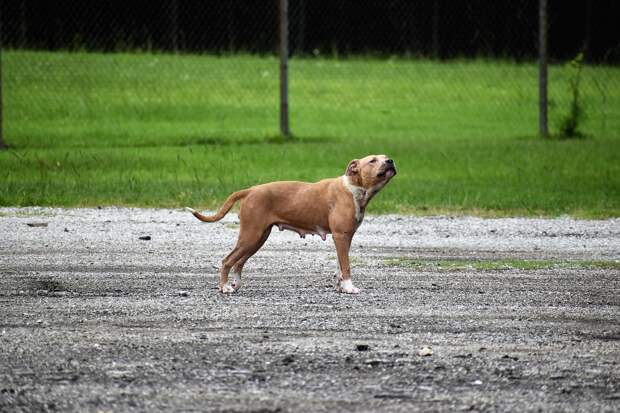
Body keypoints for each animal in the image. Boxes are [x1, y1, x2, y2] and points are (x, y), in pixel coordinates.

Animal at [185, 154, 398, 292]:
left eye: (386, 157)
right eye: (373, 160)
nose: (390, 161)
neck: (353, 188)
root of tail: (250, 190)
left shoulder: (345, 238)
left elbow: (339, 265)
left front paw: (340, 286)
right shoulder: (341, 236)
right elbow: (346, 266)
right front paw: (349, 287)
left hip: (258, 238)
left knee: (239, 262)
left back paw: (235, 285)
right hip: (250, 236)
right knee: (227, 260)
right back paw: (225, 287)